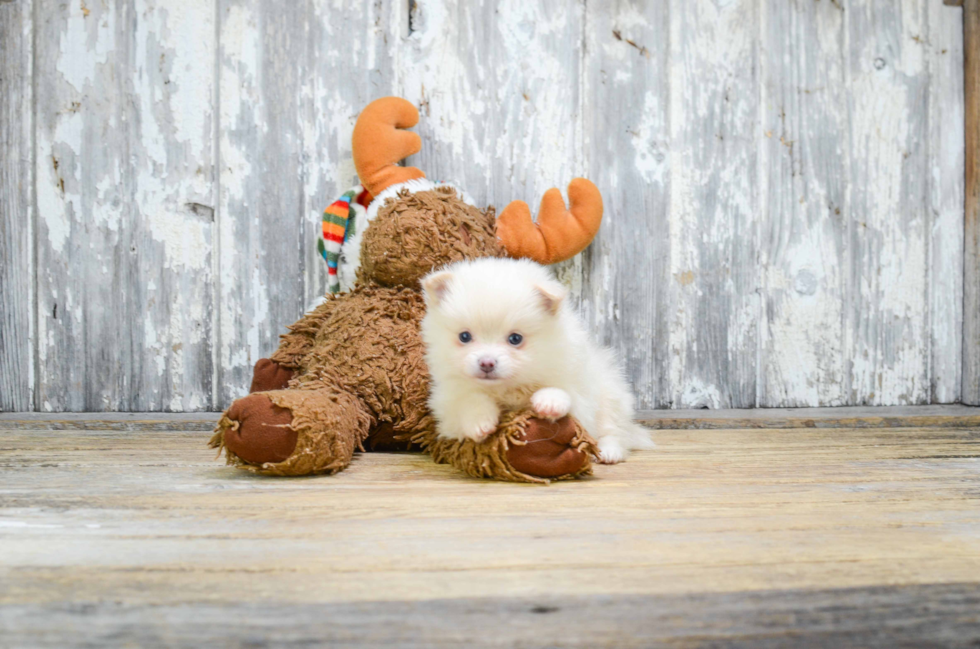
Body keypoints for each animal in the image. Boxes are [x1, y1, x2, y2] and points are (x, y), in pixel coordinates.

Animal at [420, 256, 656, 464]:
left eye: (515, 339)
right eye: (464, 336)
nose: (487, 363)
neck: (509, 388)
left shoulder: (578, 390)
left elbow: (563, 393)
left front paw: (549, 401)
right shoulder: (447, 407)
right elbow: (469, 400)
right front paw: (480, 421)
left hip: (611, 395)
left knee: (614, 430)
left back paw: (608, 452)